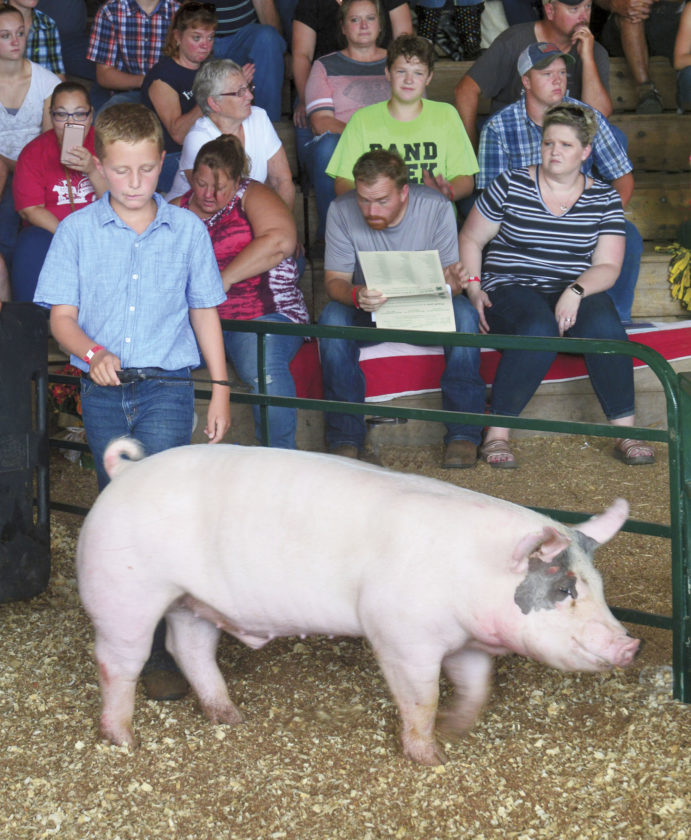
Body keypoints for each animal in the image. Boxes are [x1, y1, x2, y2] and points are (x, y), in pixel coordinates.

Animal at [77, 438, 640, 766]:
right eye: (564, 589)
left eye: (600, 585)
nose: (630, 645)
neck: (470, 571)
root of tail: (124, 474)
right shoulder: (400, 635)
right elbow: (420, 696)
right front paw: (430, 757)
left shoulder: (466, 643)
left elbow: (476, 686)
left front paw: (456, 730)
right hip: (124, 593)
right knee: (116, 661)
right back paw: (125, 741)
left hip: (190, 600)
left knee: (189, 647)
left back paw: (231, 718)